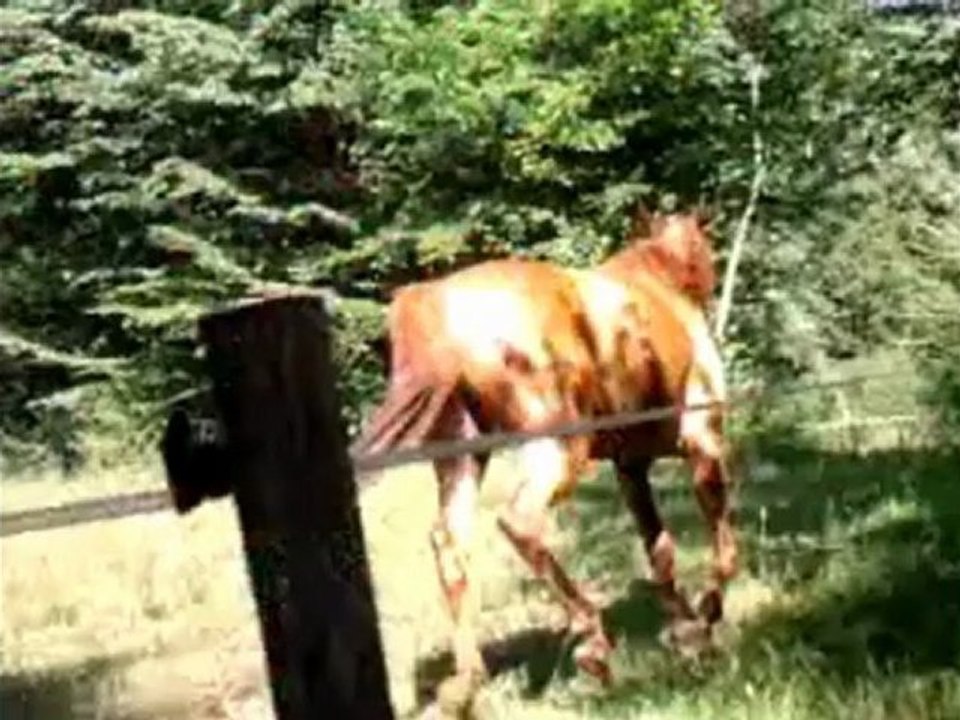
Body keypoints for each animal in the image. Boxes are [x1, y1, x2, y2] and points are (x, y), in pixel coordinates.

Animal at [351, 207, 737, 695]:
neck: (663, 279)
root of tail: (435, 305)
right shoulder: (703, 440)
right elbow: (723, 547)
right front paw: (705, 616)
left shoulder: (630, 468)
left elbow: (660, 551)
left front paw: (683, 628)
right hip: (558, 448)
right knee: (520, 523)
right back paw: (592, 642)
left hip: (462, 460)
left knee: (449, 544)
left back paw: (469, 681)